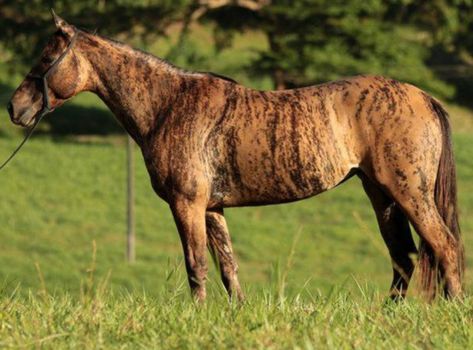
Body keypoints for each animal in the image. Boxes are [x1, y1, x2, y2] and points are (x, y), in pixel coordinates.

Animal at [7, 15, 462, 302]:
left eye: (46, 58)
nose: (15, 107)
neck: (168, 105)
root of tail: (424, 97)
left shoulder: (187, 204)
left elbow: (196, 266)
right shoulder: (213, 208)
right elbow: (229, 268)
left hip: (408, 192)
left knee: (445, 246)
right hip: (381, 195)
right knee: (403, 258)